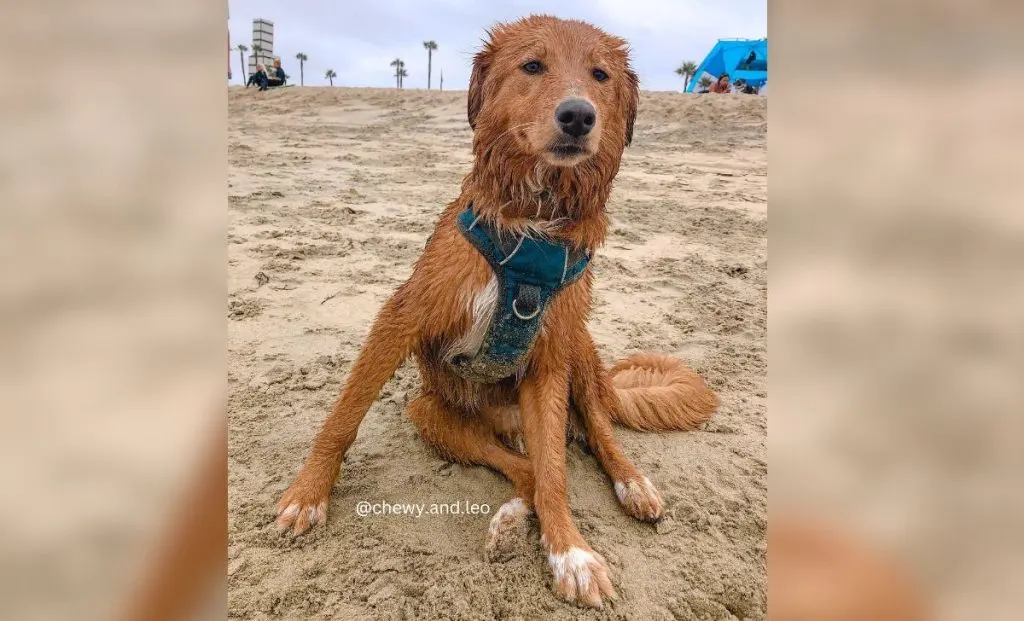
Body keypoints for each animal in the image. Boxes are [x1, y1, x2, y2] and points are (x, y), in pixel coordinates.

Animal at [274, 14, 720, 606]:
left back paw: (632, 483)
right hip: (433, 414)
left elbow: (558, 476)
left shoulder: (550, 361)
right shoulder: (401, 316)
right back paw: (509, 520)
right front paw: (308, 493)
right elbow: (343, 416)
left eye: (600, 75)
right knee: (524, 468)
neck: (534, 223)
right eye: (532, 65)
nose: (578, 115)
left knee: (591, 437)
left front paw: (572, 554)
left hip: (579, 349)